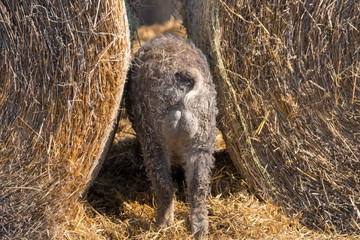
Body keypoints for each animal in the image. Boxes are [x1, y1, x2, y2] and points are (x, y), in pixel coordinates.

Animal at [126, 33, 217, 238]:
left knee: (164, 184)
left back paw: (162, 225)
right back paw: (200, 231)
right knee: (198, 184)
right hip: (203, 137)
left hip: (153, 135)